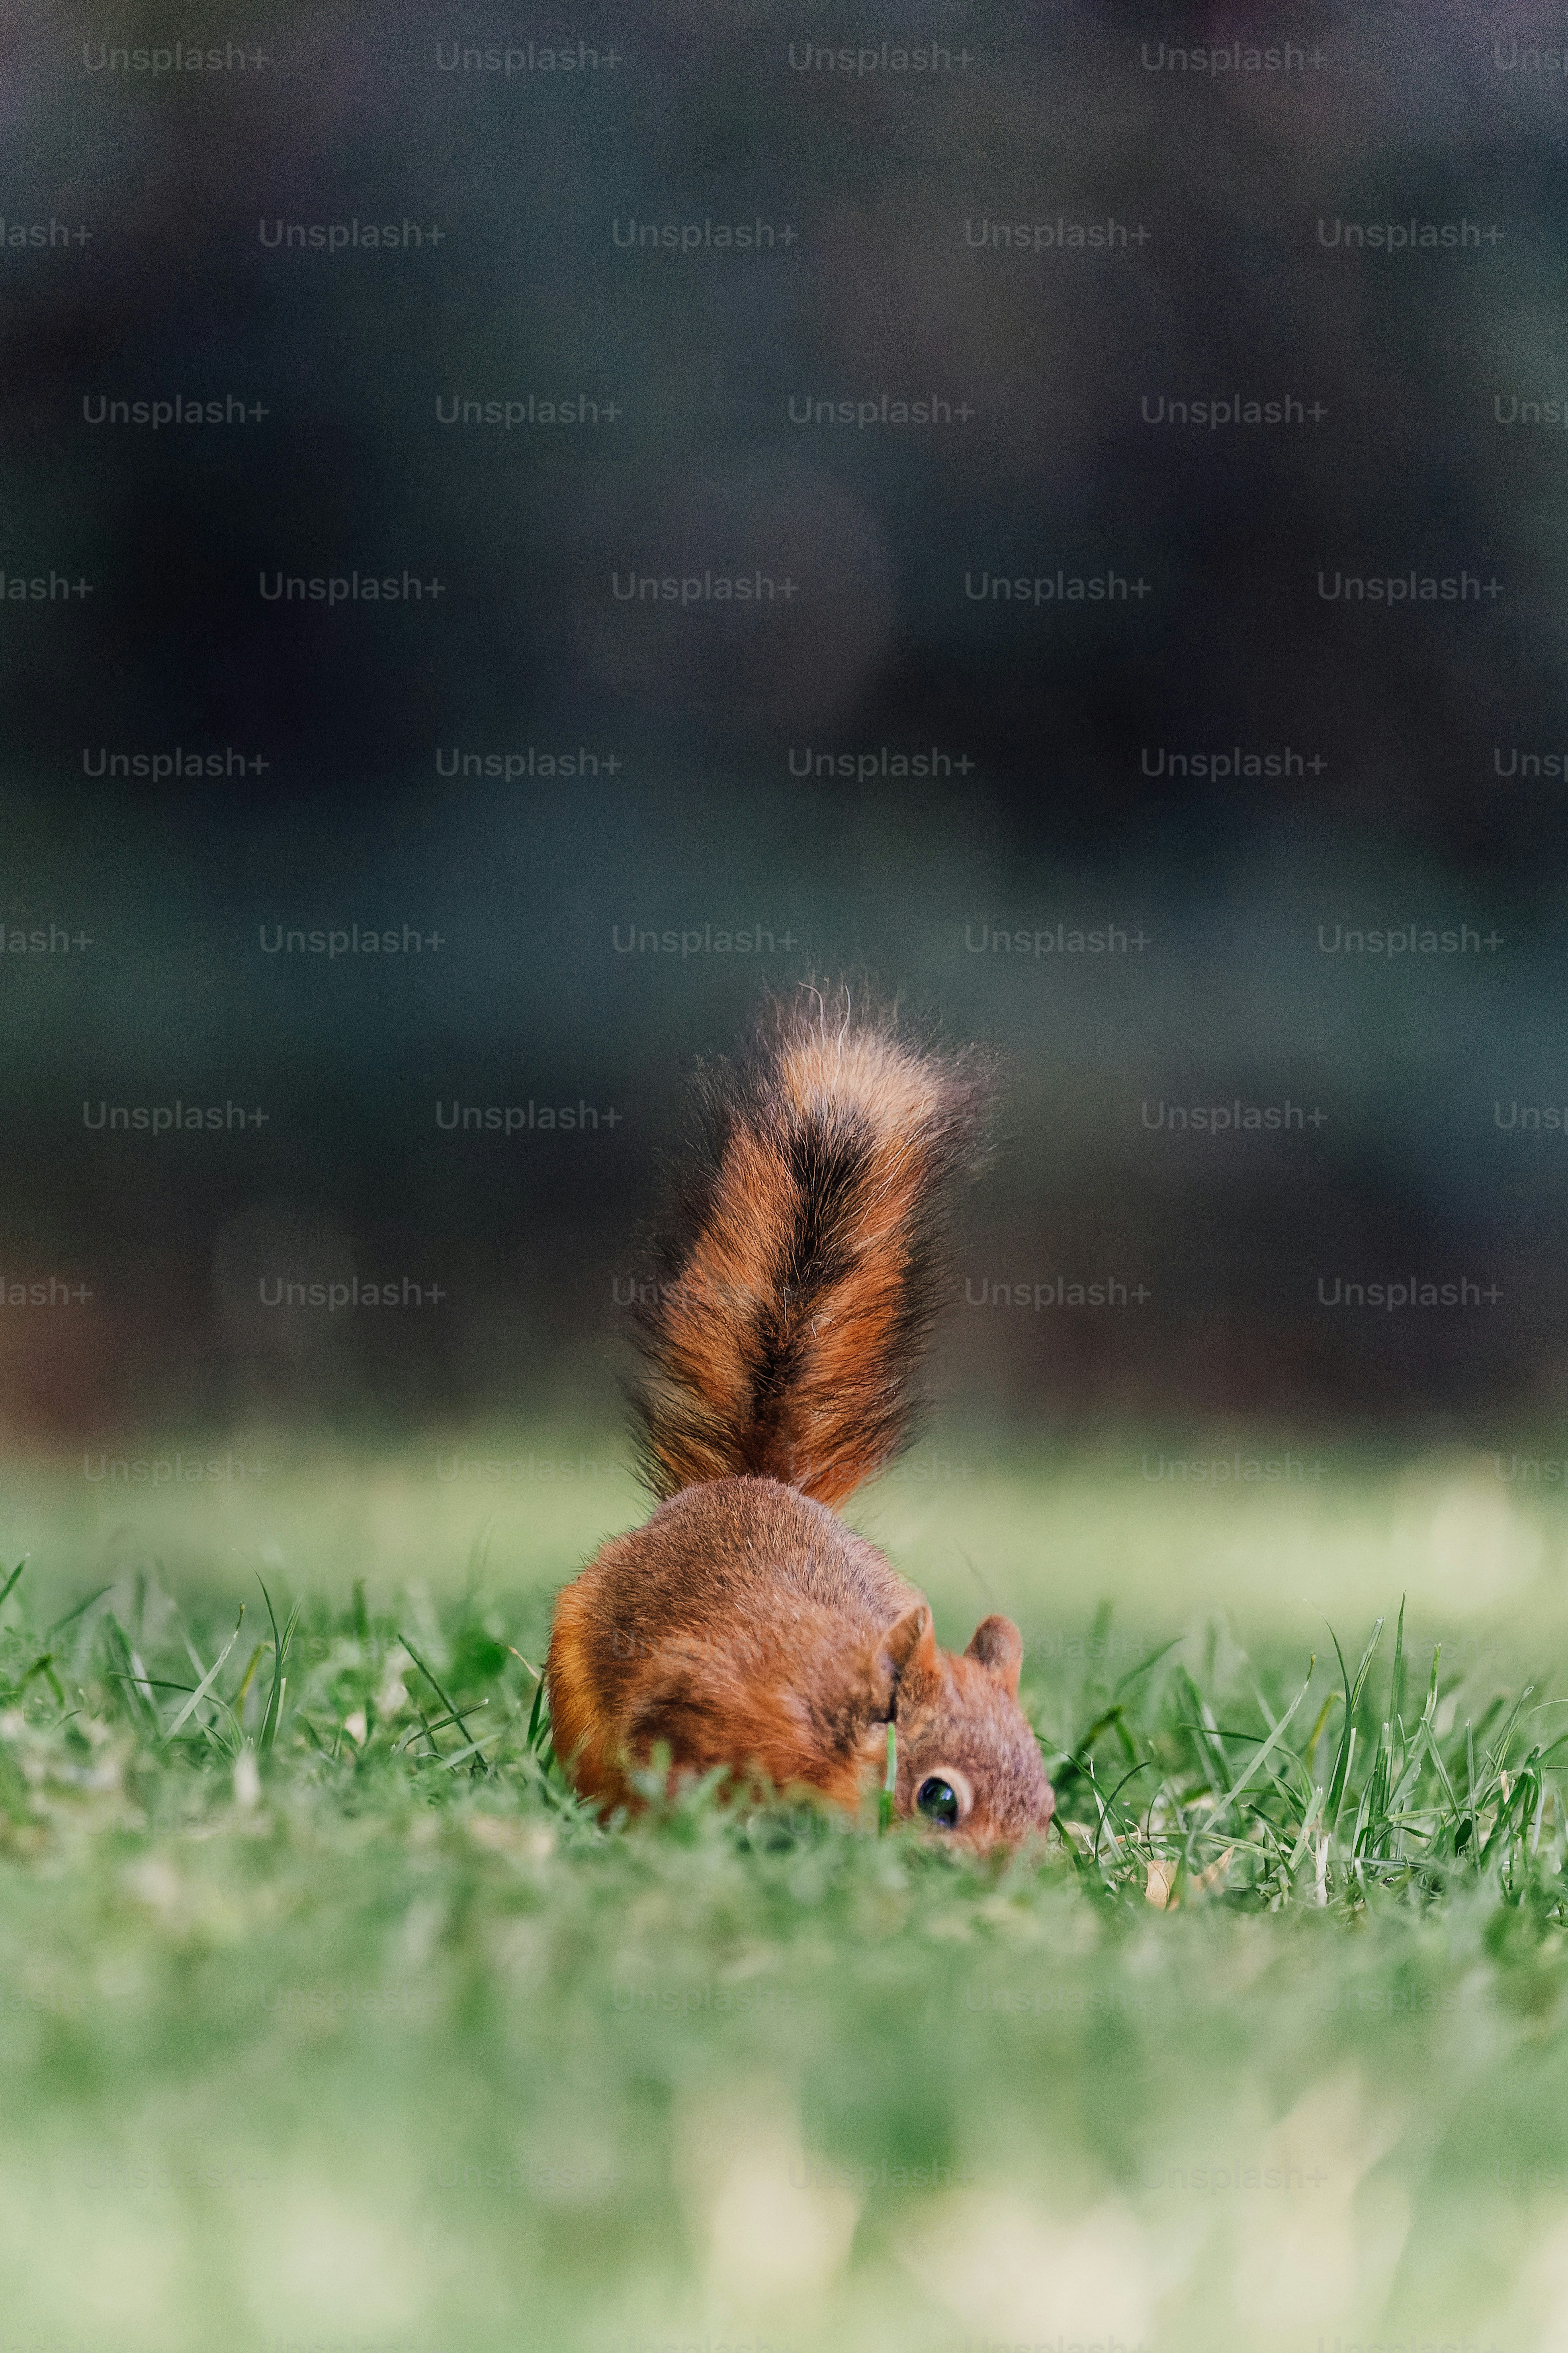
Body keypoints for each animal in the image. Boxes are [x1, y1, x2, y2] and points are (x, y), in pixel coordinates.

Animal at [550, 983, 1053, 1844]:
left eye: (1049, 1808)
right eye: (938, 1799)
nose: (1011, 1878)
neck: (830, 1712)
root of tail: (748, 1484)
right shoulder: (701, 1696)